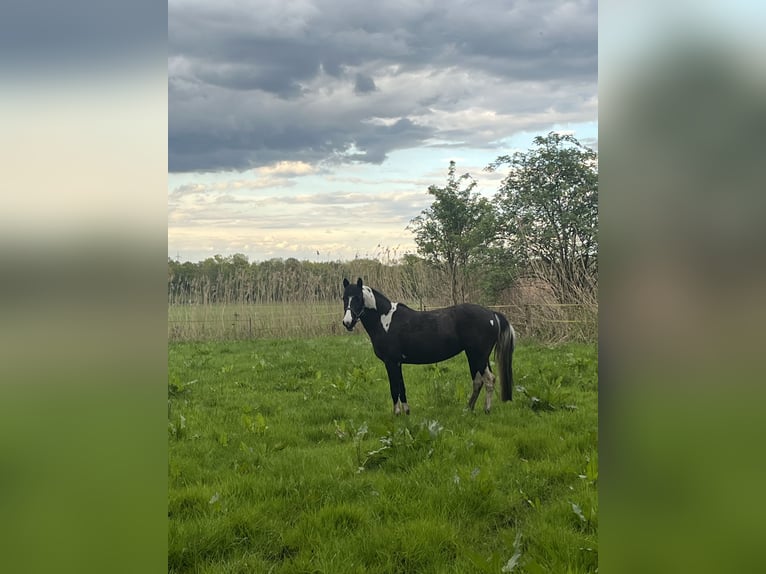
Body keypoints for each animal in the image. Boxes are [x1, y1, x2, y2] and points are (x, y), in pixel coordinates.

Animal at [342, 278, 516, 414]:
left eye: (357, 298)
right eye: (344, 298)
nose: (347, 322)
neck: (385, 320)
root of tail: (491, 314)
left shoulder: (391, 362)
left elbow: (394, 388)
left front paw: (397, 413)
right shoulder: (397, 363)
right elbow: (401, 387)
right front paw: (406, 412)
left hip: (478, 356)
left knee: (489, 380)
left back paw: (486, 409)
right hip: (475, 356)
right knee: (478, 381)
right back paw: (468, 408)